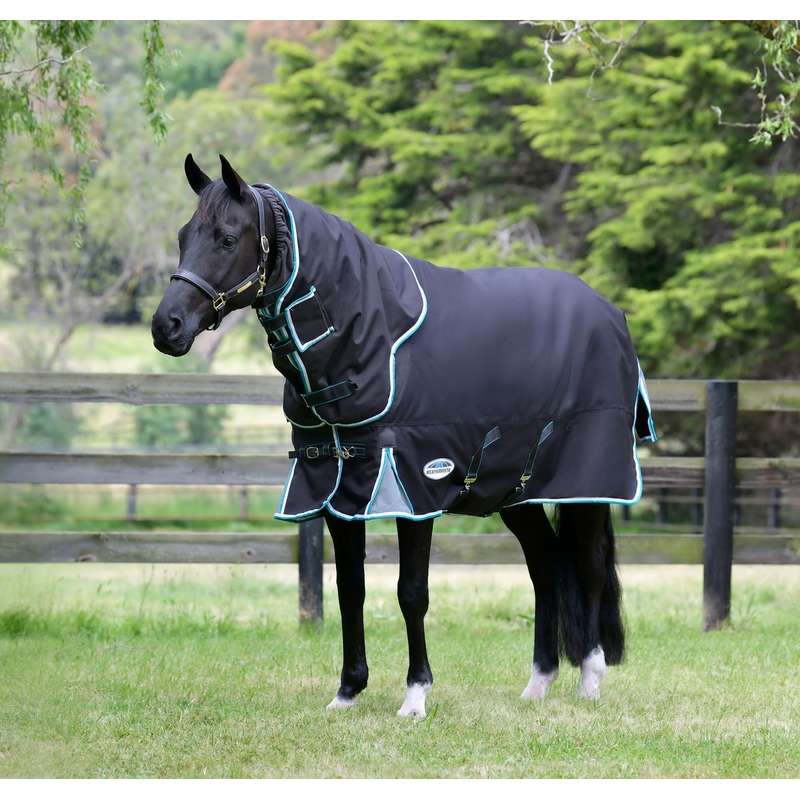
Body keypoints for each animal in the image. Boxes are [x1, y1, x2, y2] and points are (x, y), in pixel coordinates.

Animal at [152, 154, 656, 717]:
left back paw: (589, 679)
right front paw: (347, 692)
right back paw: (537, 684)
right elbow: (350, 589)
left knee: (587, 567)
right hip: (515, 493)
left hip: (587, 484)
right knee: (546, 566)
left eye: (226, 238)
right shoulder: (336, 486)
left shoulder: (416, 484)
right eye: (183, 235)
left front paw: (415, 695)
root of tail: (609, 313)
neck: (373, 334)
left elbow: (411, 591)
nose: (166, 326)